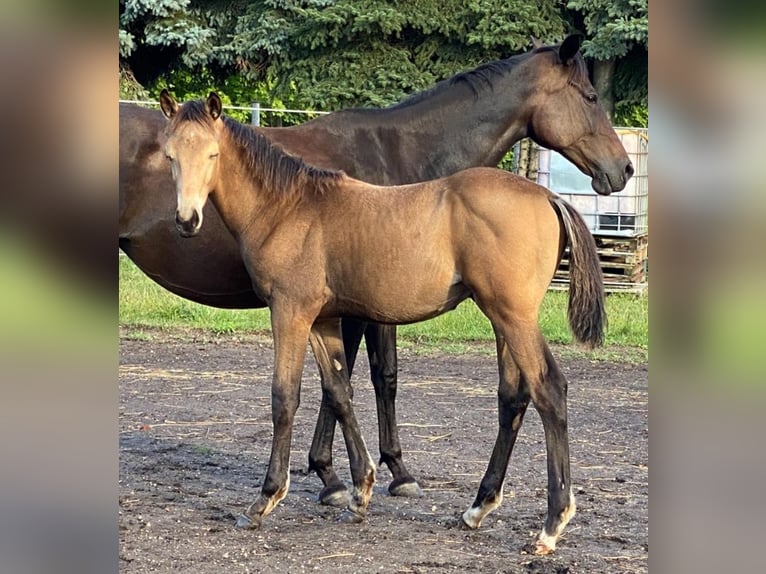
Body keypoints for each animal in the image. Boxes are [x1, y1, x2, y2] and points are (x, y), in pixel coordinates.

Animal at [119, 35, 632, 506]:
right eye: (590, 96)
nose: (624, 170)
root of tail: (546, 196)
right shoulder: (341, 310)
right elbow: (349, 384)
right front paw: (349, 477)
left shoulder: (329, 309)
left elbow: (354, 382)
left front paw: (348, 477)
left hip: (508, 314)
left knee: (531, 391)